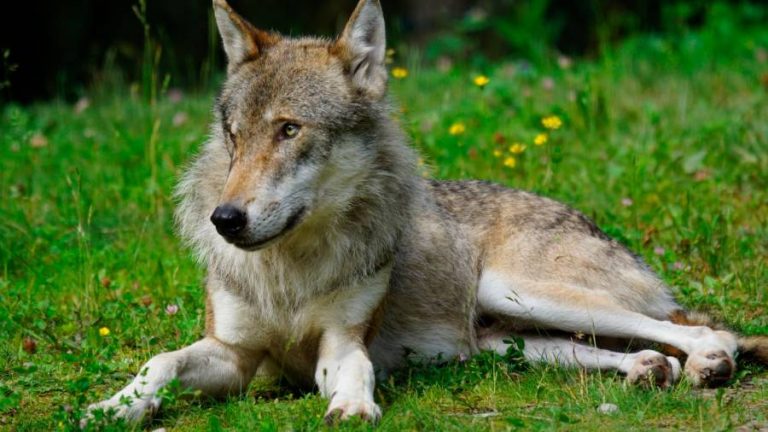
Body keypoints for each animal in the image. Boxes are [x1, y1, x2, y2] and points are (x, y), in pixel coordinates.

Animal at [87, 0, 768, 424]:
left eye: (289, 130)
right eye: (233, 137)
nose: (224, 220)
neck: (292, 271)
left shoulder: (342, 342)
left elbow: (354, 372)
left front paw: (353, 407)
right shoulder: (231, 354)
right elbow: (160, 362)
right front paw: (114, 407)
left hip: (520, 290)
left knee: (702, 331)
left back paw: (708, 363)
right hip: (509, 339)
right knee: (642, 348)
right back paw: (650, 370)